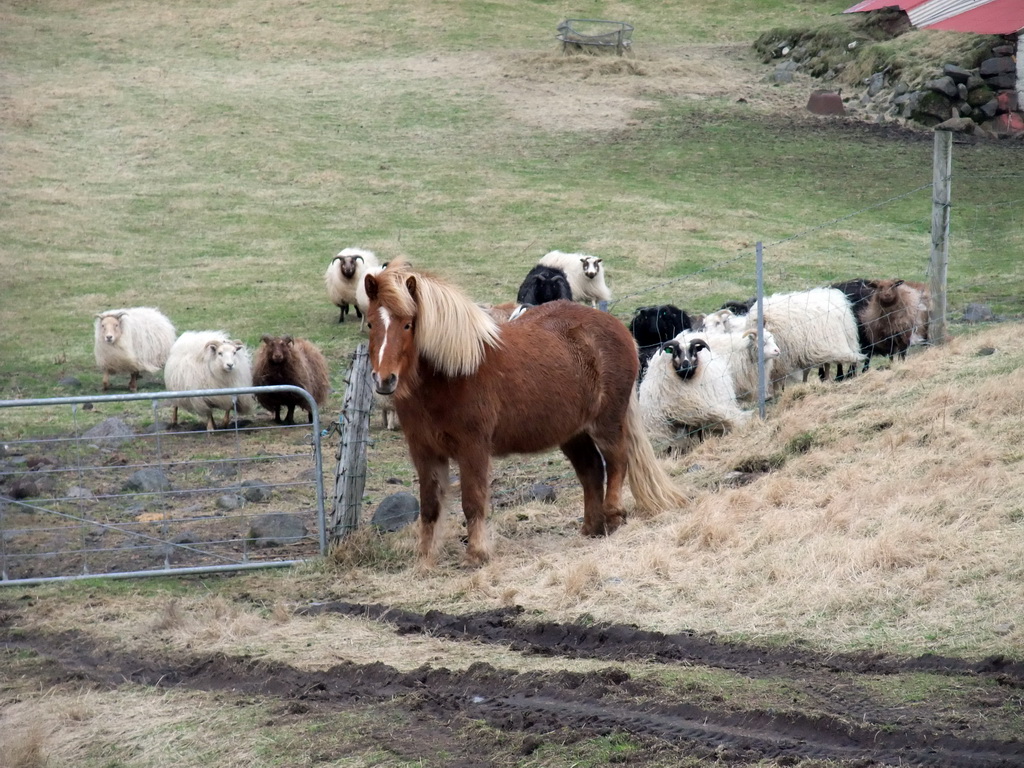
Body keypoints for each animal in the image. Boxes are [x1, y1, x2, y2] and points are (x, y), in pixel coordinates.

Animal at [362, 262, 688, 569]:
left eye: (409, 325)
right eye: (370, 324)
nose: (384, 380)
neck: (452, 372)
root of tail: (619, 329)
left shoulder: (473, 448)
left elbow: (472, 501)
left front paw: (476, 555)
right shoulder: (424, 451)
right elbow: (430, 506)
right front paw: (426, 558)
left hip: (606, 422)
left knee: (617, 461)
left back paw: (614, 516)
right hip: (573, 432)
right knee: (592, 470)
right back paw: (591, 528)